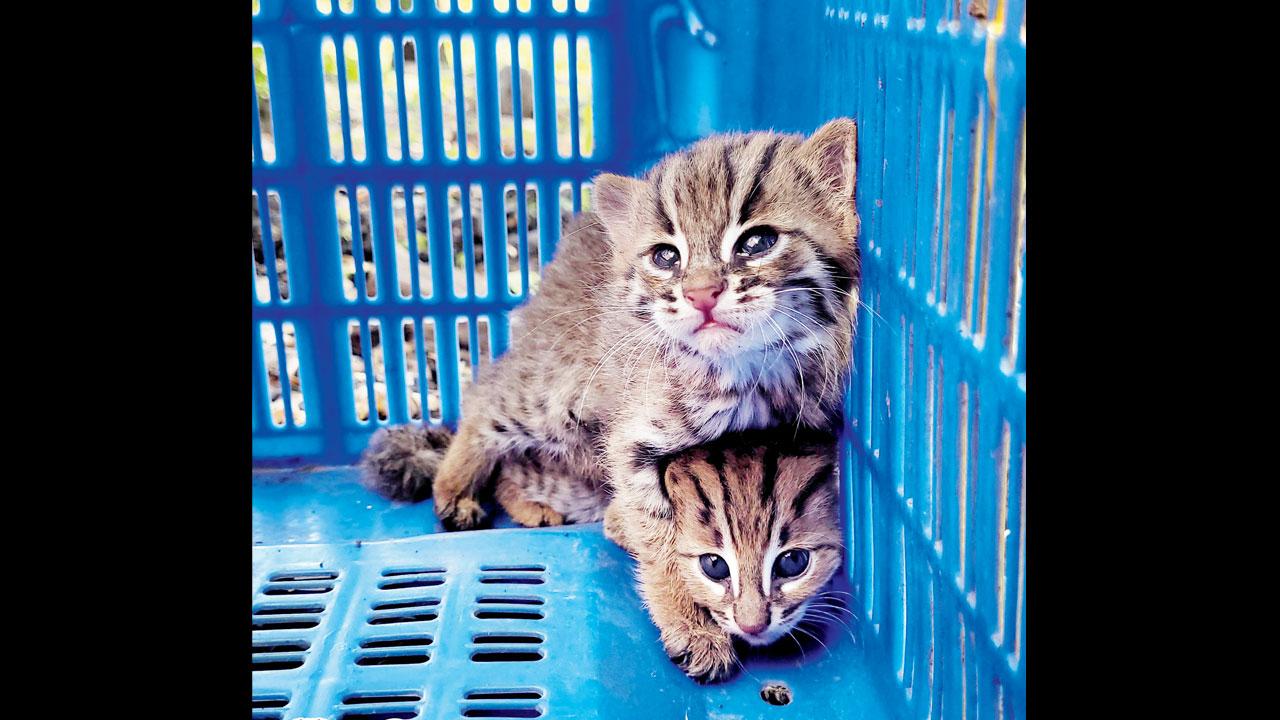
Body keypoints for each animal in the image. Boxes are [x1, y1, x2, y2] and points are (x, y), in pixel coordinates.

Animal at [360, 117, 860, 530]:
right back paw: (455, 489)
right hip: (553, 395)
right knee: (484, 400)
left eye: (758, 243)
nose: (701, 294)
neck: (753, 370)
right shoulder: (632, 438)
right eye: (666, 257)